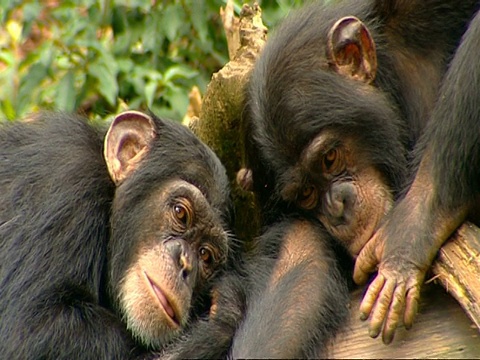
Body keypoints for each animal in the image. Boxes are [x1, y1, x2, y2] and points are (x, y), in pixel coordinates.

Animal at [0, 110, 232, 360]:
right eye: (180, 213)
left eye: (205, 255)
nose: (185, 264)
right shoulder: (65, 183)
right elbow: (30, 326)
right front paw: (222, 318)